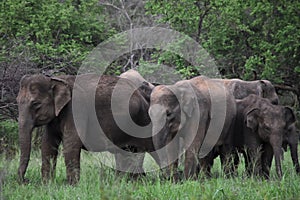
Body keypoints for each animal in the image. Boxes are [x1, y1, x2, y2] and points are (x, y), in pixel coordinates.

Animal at [16, 73, 158, 184]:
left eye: (36, 104)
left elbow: (70, 144)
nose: (25, 180)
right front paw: (47, 185)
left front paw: (71, 186)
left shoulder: (76, 109)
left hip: (143, 121)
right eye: (17, 101)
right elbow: (47, 145)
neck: (56, 79)